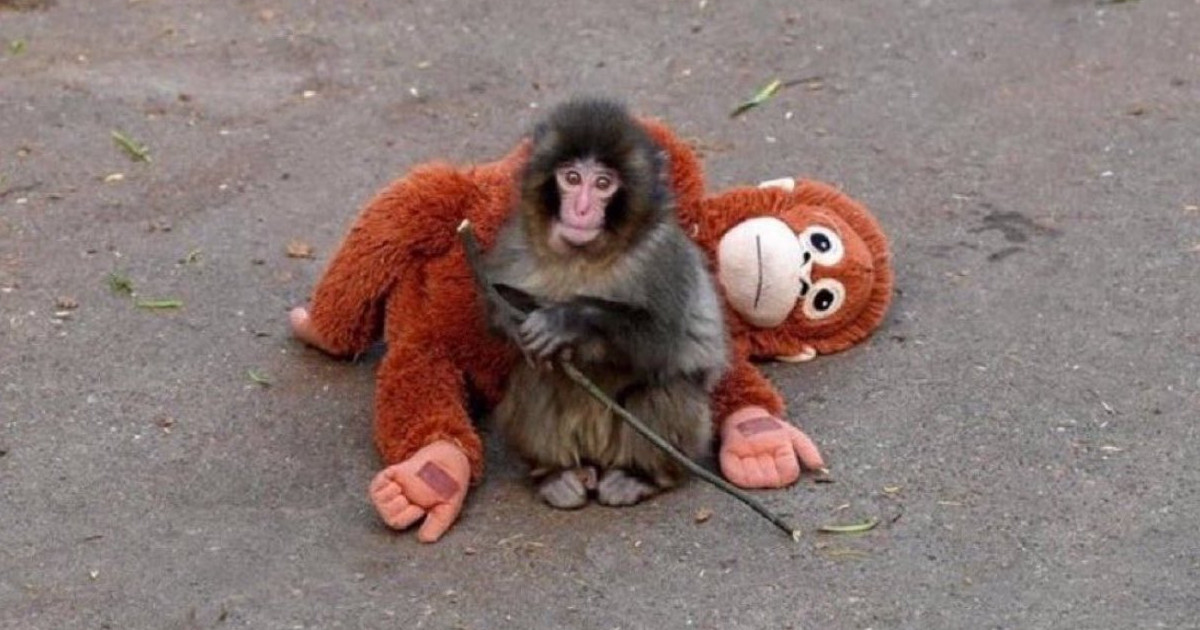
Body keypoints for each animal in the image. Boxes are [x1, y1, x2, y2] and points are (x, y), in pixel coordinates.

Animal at [482, 98, 729, 509]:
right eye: (571, 178)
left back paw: (638, 476)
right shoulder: (514, 242)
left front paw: (567, 321)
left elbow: (659, 343)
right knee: (535, 377)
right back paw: (555, 474)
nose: (581, 210)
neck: (585, 257)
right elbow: (493, 310)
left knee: (662, 388)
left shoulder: (661, 257)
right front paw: (518, 318)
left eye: (602, 184)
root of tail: (598, 458)